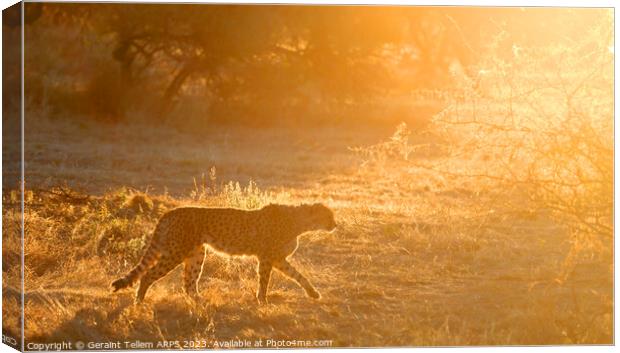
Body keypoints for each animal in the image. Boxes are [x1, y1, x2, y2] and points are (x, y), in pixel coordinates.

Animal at [109, 202, 336, 304]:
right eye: (329, 216)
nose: (335, 225)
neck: (300, 222)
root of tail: (170, 211)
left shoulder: (278, 259)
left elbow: (299, 275)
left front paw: (313, 293)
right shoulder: (267, 258)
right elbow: (264, 280)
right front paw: (262, 301)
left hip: (197, 254)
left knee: (188, 283)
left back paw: (201, 301)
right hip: (175, 252)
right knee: (149, 274)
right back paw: (139, 300)